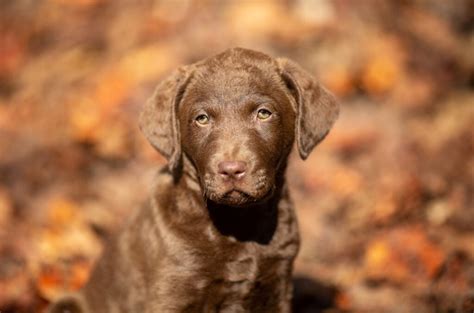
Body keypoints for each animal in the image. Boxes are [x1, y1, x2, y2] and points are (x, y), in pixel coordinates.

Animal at [48, 47, 338, 312]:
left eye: (263, 113)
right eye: (202, 119)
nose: (231, 170)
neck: (238, 225)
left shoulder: (277, 285)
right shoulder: (170, 292)